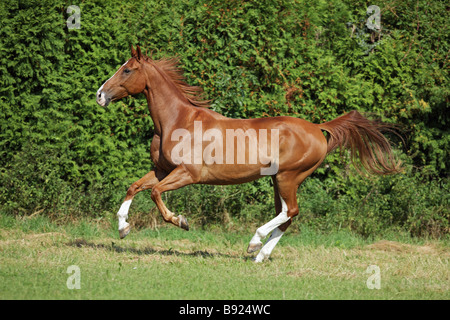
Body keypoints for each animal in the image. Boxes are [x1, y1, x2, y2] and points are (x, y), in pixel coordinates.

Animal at [96, 45, 400, 262]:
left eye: (127, 70)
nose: (99, 95)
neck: (177, 121)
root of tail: (317, 128)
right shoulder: (162, 169)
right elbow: (134, 187)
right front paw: (123, 228)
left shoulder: (187, 174)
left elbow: (155, 193)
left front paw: (181, 221)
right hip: (278, 180)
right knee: (288, 216)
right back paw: (260, 255)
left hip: (289, 177)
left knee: (291, 211)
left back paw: (254, 242)